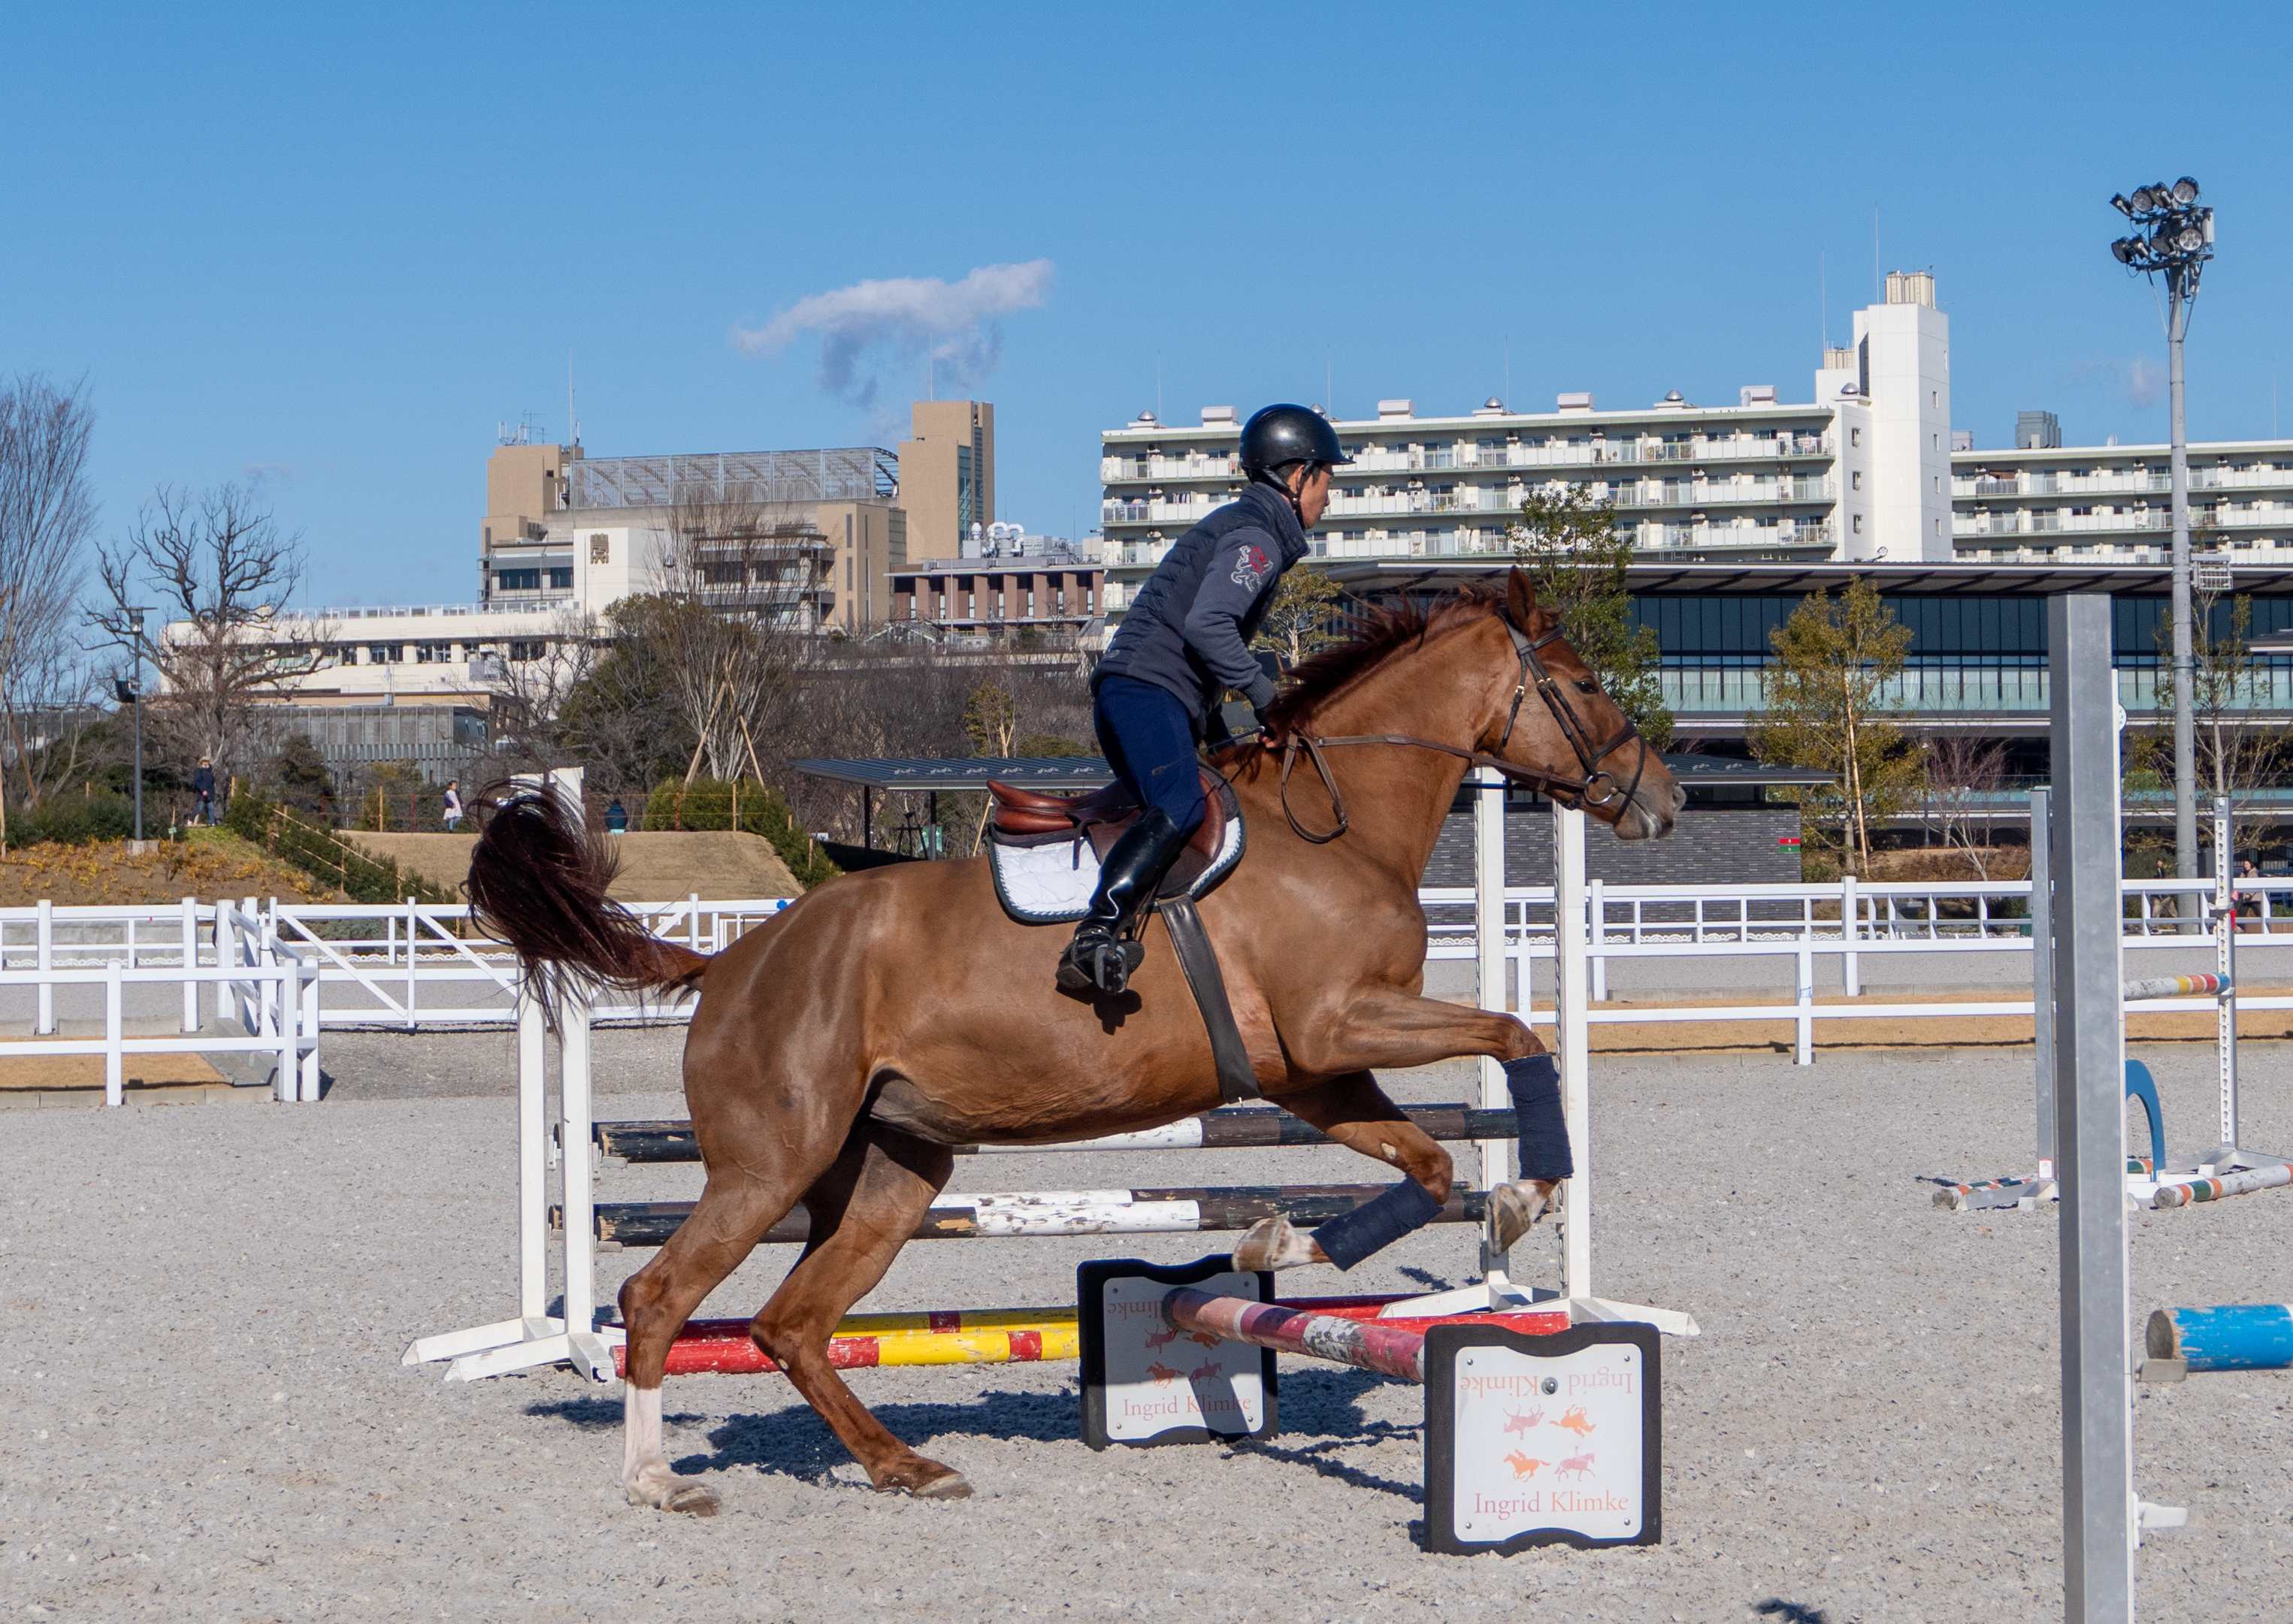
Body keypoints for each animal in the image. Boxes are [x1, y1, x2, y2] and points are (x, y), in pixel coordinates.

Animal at [466, 568, 1681, 1515]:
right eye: (1581, 686)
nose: (1661, 800)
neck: (1338, 824)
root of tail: (731, 963)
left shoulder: (1314, 1070)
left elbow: (1429, 1164)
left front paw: (1283, 1243)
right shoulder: (1336, 1025)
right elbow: (1518, 1036)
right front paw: (1527, 1189)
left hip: (893, 1172)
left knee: (793, 1323)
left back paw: (904, 1466)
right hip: (772, 1162)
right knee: (659, 1298)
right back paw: (656, 1479)